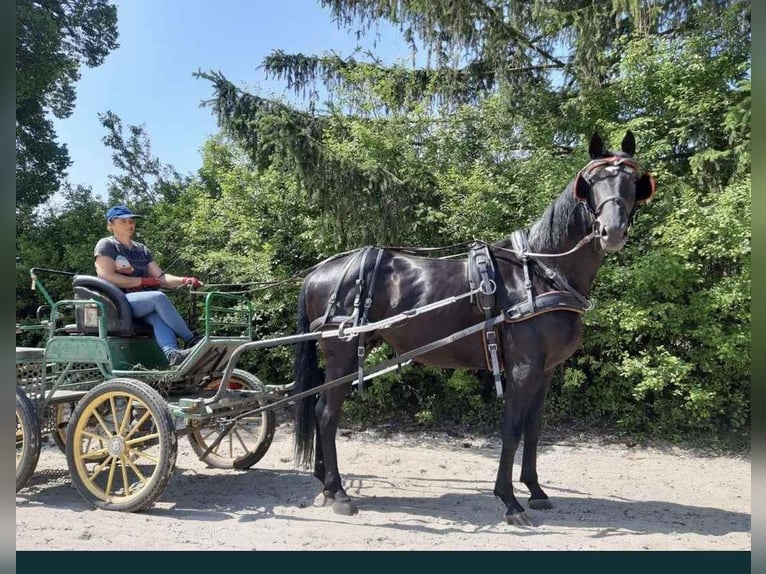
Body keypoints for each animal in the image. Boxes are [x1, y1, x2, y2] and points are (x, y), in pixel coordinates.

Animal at [292, 133, 656, 528]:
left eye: (633, 181)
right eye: (592, 181)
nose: (612, 231)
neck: (541, 274)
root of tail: (319, 272)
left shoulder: (546, 370)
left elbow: (534, 428)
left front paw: (536, 491)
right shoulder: (523, 368)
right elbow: (512, 429)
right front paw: (509, 501)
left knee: (319, 409)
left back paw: (326, 484)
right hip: (342, 353)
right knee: (327, 414)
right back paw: (340, 492)